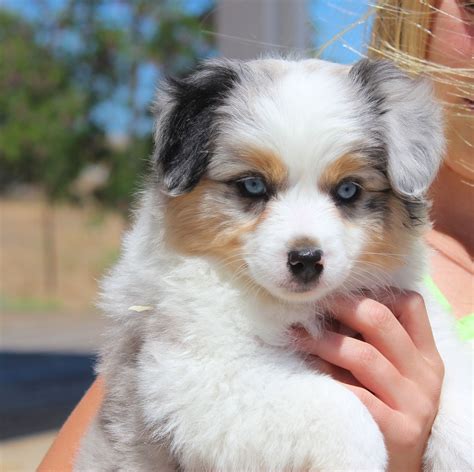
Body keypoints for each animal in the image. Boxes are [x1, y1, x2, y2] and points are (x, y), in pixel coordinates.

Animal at [76, 59, 472, 472]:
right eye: (252, 185)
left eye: (348, 190)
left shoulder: (420, 329)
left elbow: (455, 383)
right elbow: (342, 410)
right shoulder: (196, 370)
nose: (306, 259)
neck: (292, 305)